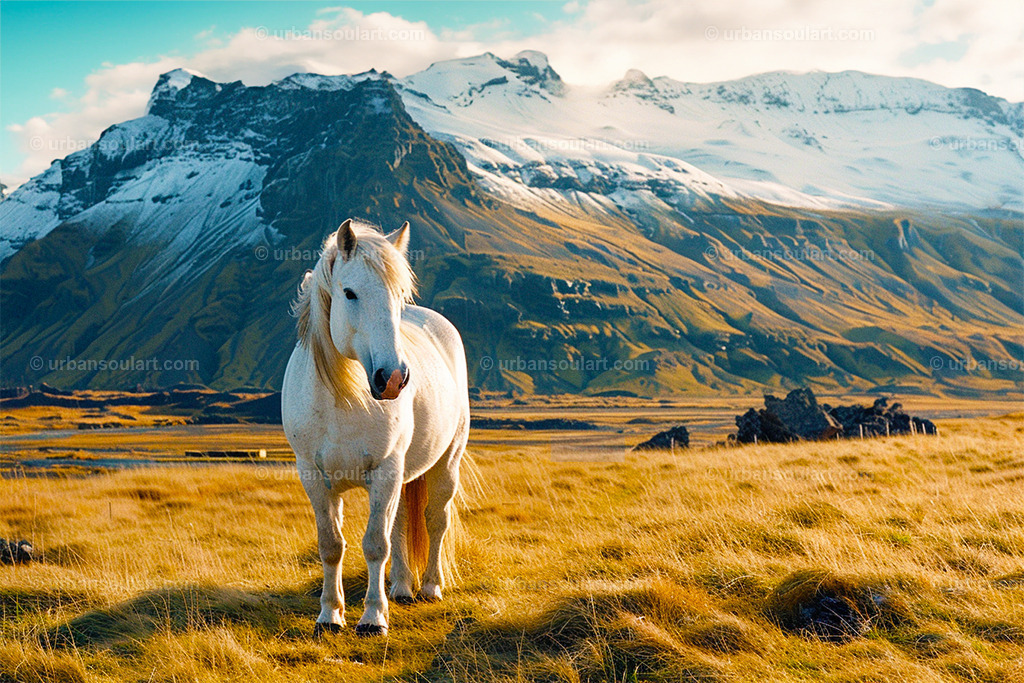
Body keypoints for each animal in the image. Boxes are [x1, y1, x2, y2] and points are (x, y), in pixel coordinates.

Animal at [281, 218, 470, 637]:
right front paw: (330, 615)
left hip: (445, 463)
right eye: (349, 293)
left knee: (435, 520)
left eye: (399, 295)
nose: (394, 379)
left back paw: (429, 587)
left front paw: (372, 618)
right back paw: (400, 587)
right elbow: (331, 545)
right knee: (399, 523)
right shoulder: (313, 476)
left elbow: (374, 544)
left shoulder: (385, 471)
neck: (344, 399)